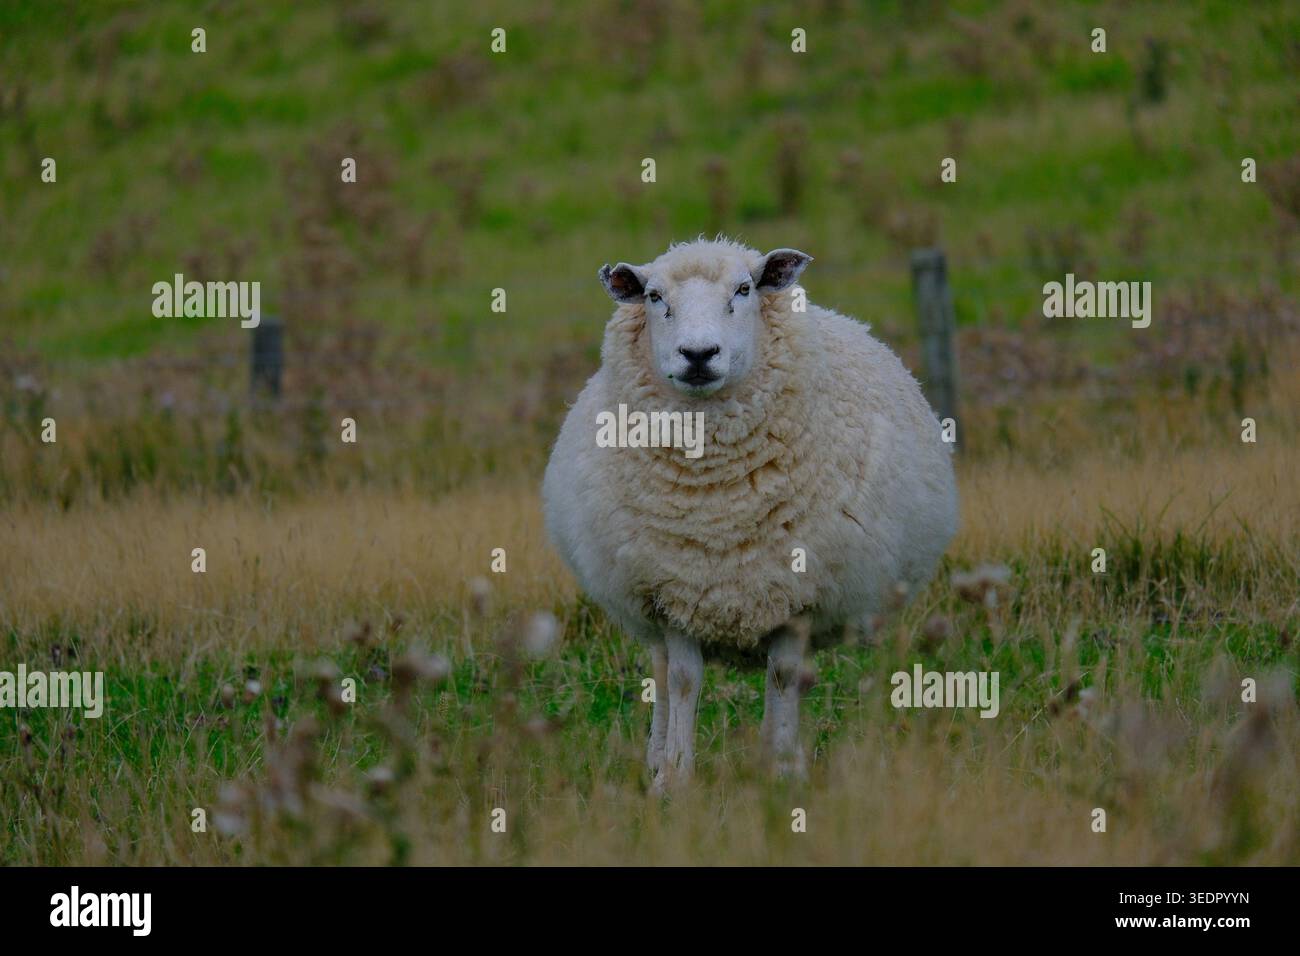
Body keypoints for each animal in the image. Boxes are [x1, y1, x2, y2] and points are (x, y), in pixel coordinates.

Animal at [543, 238, 958, 787]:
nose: (699, 354)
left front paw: (780, 771)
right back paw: (655, 757)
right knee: (659, 670)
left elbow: (783, 678)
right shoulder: (673, 590)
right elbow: (682, 680)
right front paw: (674, 778)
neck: (720, 507)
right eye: (654, 296)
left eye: (744, 290)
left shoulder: (797, 593)